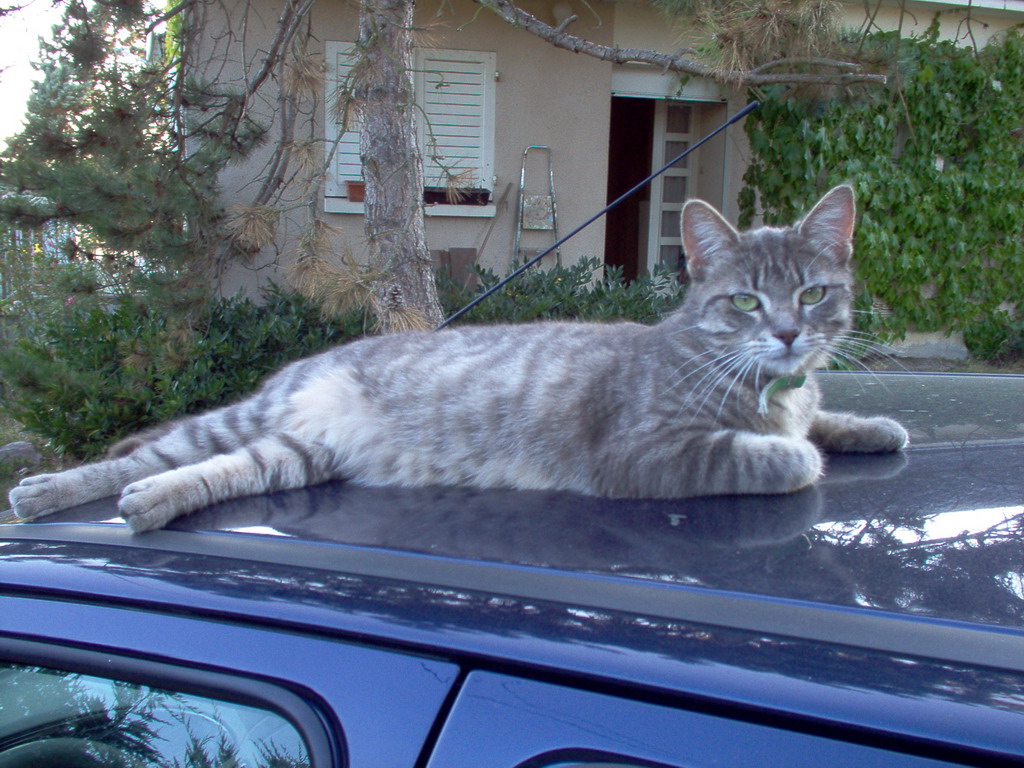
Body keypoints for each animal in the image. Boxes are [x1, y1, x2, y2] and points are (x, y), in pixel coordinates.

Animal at [6, 186, 905, 536]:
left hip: (296, 453)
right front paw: (799, 452)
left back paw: (153, 503)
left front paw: (869, 425)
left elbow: (820, 415)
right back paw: (49, 490)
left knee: (211, 472)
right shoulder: (646, 452)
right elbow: (772, 453)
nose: (787, 334)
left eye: (814, 294)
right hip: (245, 421)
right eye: (746, 302)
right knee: (142, 456)